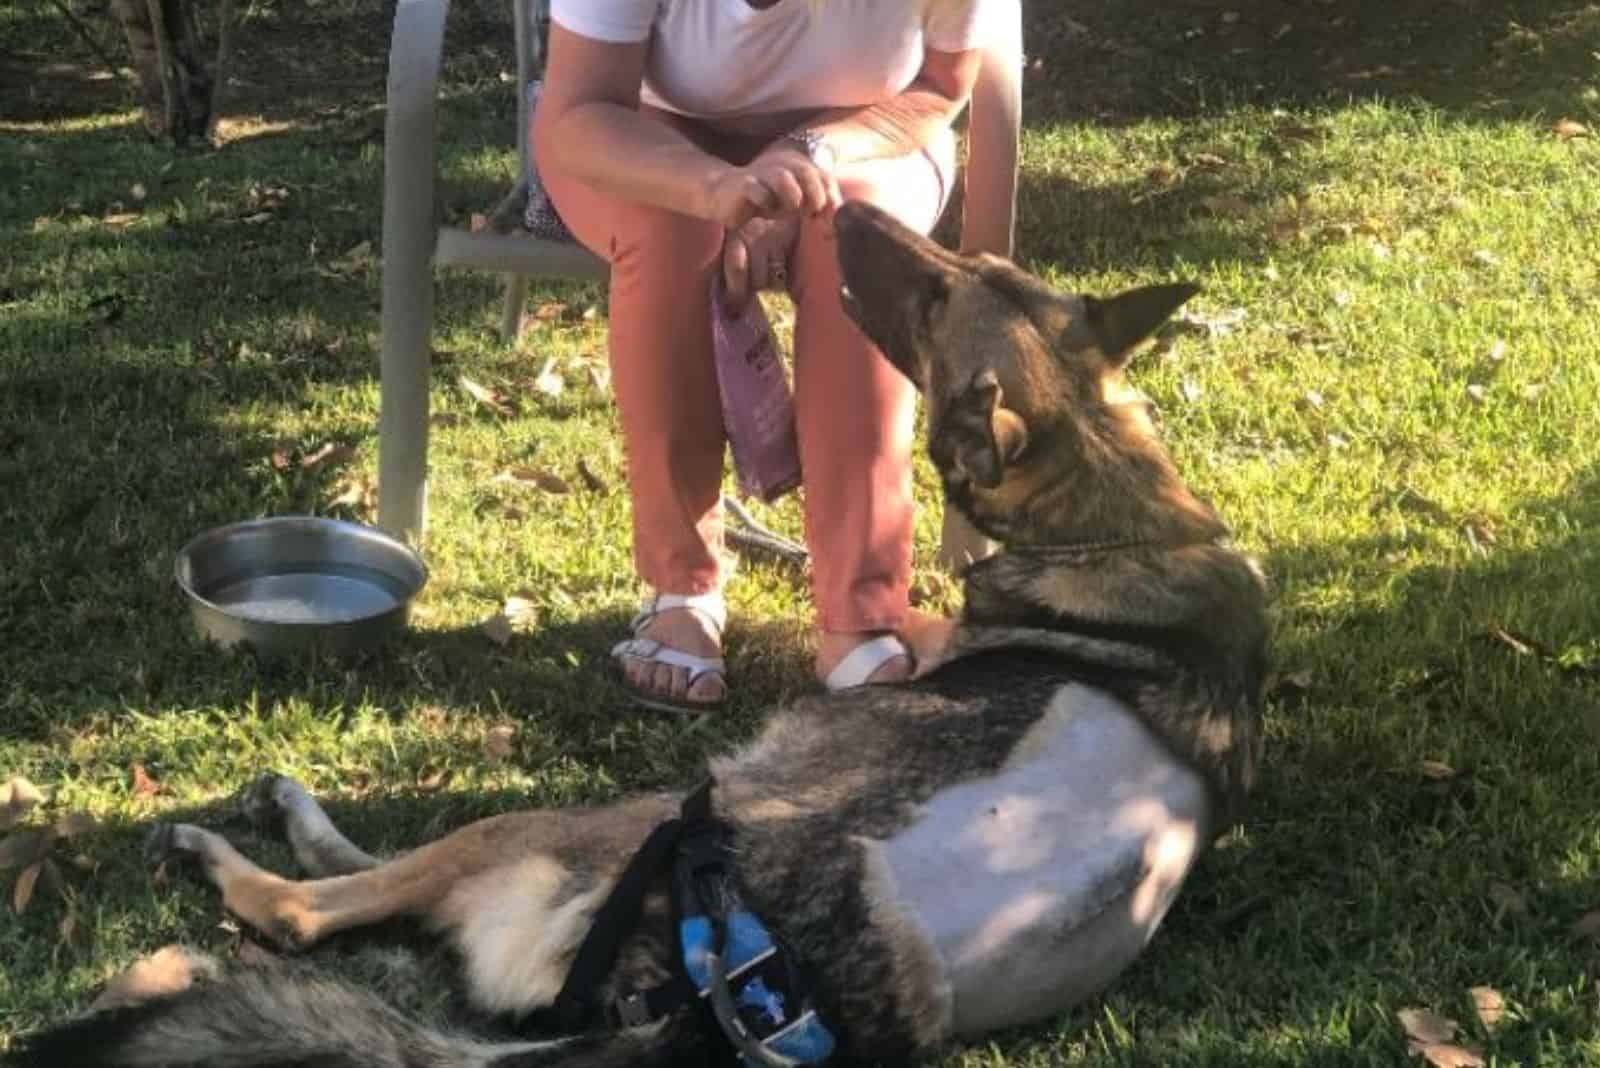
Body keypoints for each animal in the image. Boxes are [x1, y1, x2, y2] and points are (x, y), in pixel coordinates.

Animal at [6, 199, 1267, 1068]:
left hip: (582, 819)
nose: (845, 213)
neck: (1113, 515)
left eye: (931, 304)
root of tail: (695, 1007)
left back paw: (229, 858)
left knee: (312, 910)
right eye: (975, 273)